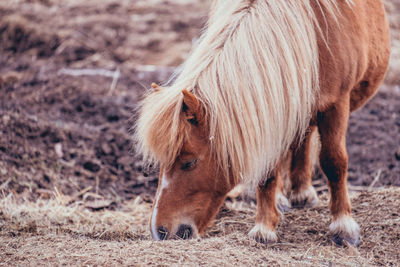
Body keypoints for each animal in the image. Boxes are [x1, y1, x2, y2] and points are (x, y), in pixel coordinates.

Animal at [134, 0, 390, 247]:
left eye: (189, 162)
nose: (159, 231)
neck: (316, 32)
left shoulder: (337, 103)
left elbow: (334, 162)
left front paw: (344, 227)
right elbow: (268, 170)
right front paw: (265, 228)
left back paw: (303, 193)